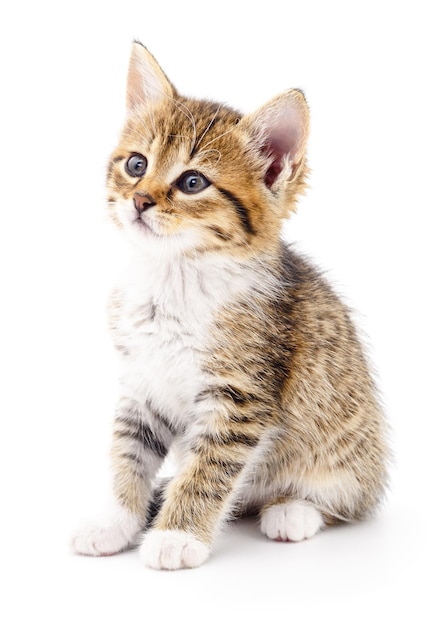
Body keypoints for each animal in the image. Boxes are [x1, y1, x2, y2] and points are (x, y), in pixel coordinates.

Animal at [70, 41, 388, 568]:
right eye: (136, 165)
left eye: (192, 182)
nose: (139, 200)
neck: (173, 278)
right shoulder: (142, 383)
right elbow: (127, 452)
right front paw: (114, 521)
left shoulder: (240, 398)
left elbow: (208, 468)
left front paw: (176, 536)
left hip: (347, 457)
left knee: (347, 499)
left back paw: (294, 510)